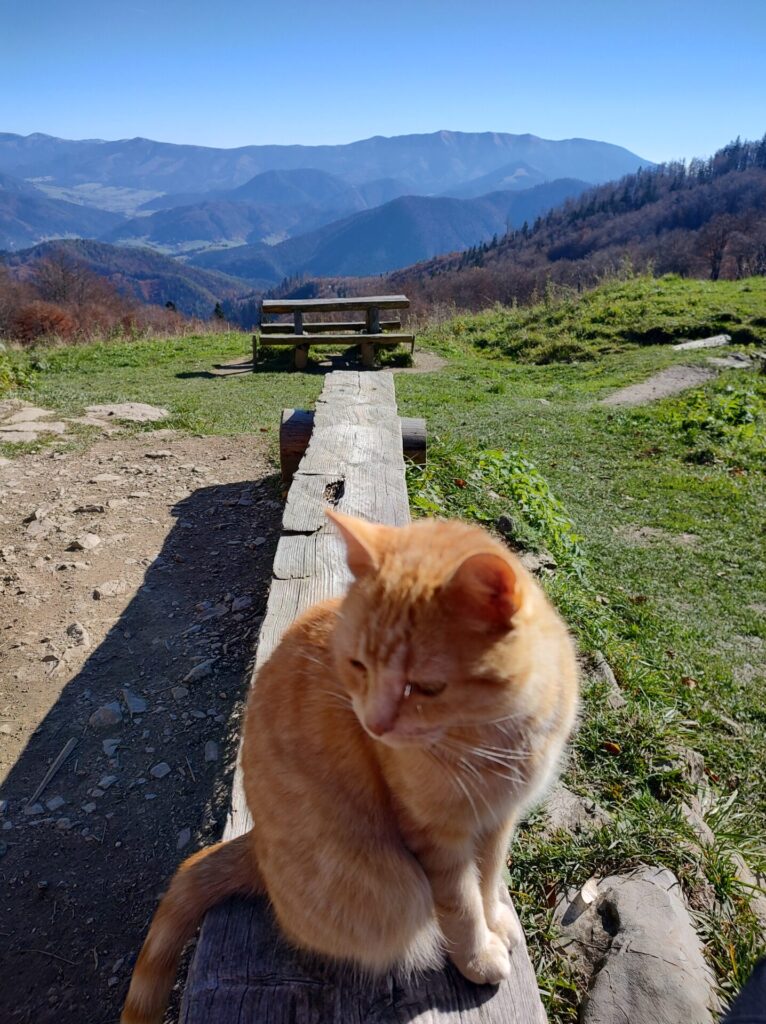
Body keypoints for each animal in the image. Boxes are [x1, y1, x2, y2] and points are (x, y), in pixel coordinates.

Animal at [121, 512, 573, 1024]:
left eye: (426, 687)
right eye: (358, 665)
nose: (373, 724)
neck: (500, 735)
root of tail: (254, 845)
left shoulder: (499, 818)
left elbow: (490, 877)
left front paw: (497, 918)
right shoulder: (436, 836)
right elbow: (461, 904)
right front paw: (478, 955)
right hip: (391, 891)